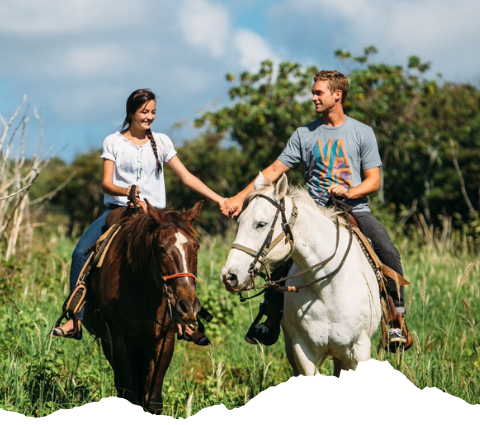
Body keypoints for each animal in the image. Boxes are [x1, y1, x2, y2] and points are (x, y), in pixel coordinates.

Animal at [82, 200, 202, 412]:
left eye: (196, 247)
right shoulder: (118, 341)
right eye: (161, 249)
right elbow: (127, 392)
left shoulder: (163, 341)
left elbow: (152, 399)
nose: (187, 307)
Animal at [221, 174, 382, 376]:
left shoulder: (359, 348)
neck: (327, 288)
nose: (229, 276)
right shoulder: (302, 350)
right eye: (240, 221)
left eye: (261, 224)